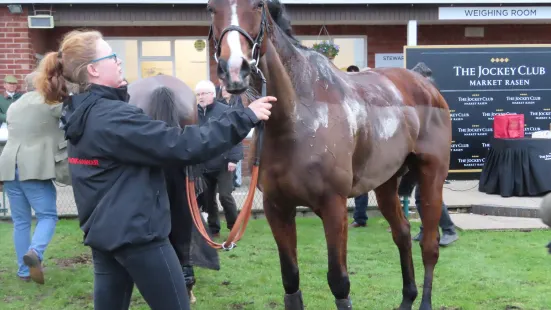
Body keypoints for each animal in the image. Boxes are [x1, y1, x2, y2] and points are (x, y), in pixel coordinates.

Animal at [207, 0, 452, 310]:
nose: (234, 69)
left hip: (432, 176)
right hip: (385, 183)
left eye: (258, 4)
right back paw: (407, 297)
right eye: (211, 7)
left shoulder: (333, 206)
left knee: (429, 245)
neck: (297, 117)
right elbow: (290, 279)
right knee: (403, 233)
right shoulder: (277, 207)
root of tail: (425, 85)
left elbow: (339, 281)